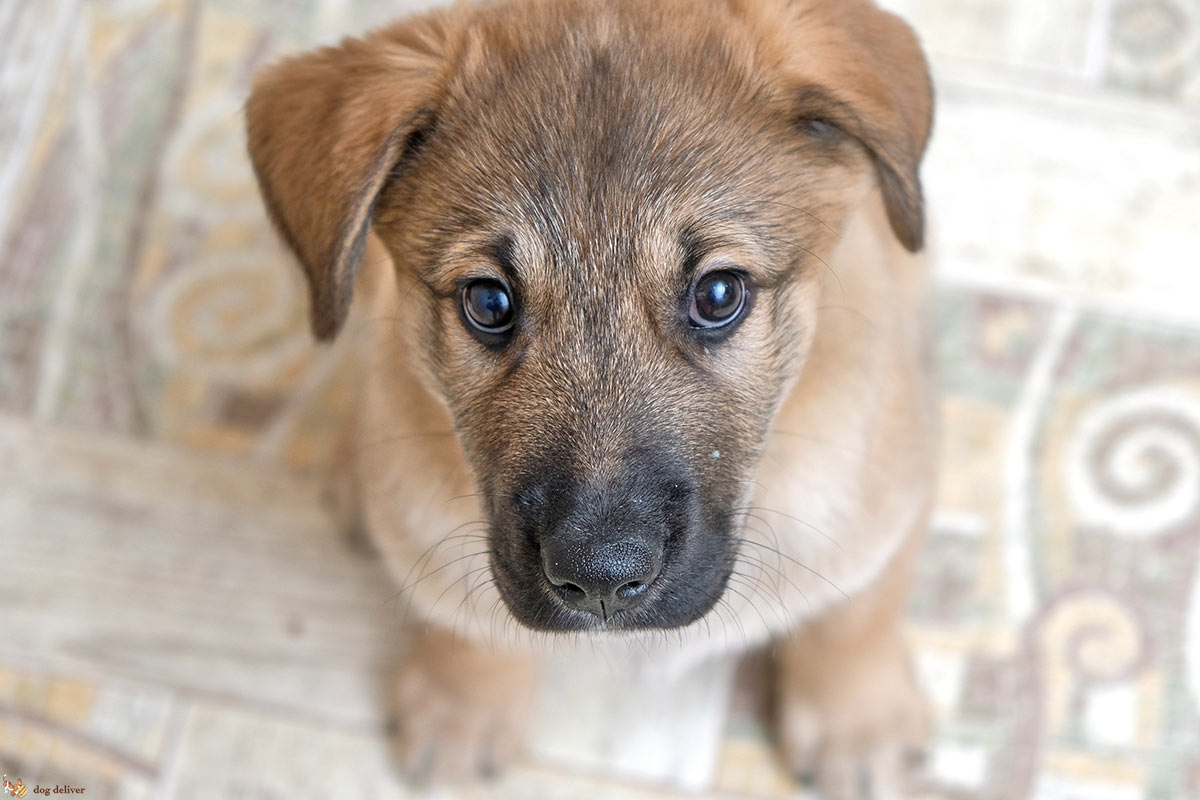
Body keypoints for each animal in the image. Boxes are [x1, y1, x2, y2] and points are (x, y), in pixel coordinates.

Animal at [246, 3, 936, 796]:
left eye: (718, 295)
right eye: (488, 302)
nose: (602, 578)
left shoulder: (885, 504)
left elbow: (855, 615)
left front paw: (860, 723)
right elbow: (468, 623)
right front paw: (462, 710)